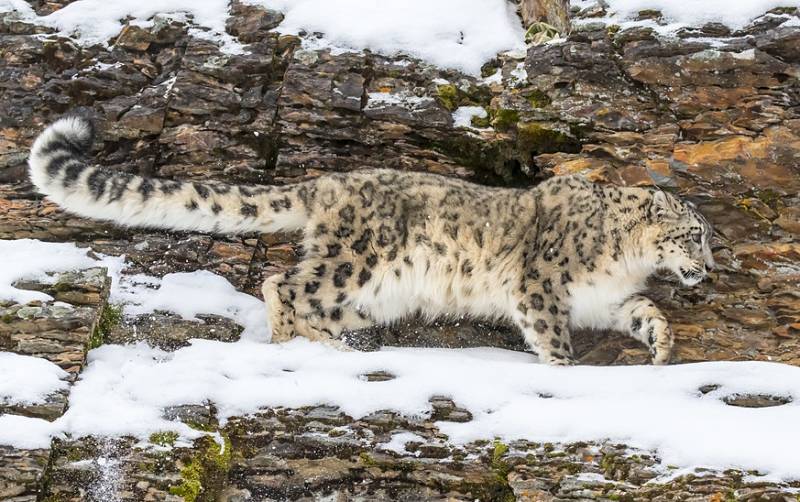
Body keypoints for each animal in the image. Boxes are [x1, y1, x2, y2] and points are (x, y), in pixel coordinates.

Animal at [26, 114, 720, 364]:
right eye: (693, 236)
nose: (710, 270)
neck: (623, 261)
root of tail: (330, 182)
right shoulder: (543, 286)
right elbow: (552, 334)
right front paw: (563, 371)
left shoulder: (611, 299)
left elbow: (647, 311)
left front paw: (662, 350)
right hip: (357, 261)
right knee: (283, 282)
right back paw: (299, 345)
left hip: (374, 290)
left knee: (312, 301)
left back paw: (334, 345)